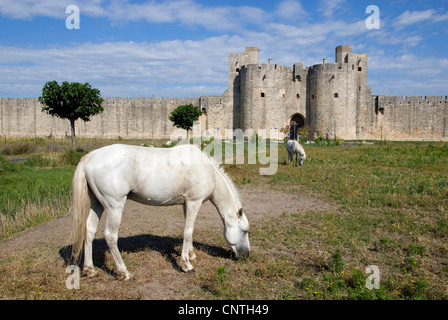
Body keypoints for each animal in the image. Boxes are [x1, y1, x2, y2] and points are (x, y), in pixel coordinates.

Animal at [72, 143, 250, 280]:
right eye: (245, 231)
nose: (246, 255)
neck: (208, 171)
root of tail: (92, 155)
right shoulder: (194, 202)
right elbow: (188, 231)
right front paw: (186, 265)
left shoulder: (186, 204)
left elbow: (189, 231)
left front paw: (191, 254)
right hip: (114, 206)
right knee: (110, 236)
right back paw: (125, 273)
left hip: (97, 204)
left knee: (89, 230)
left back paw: (90, 270)